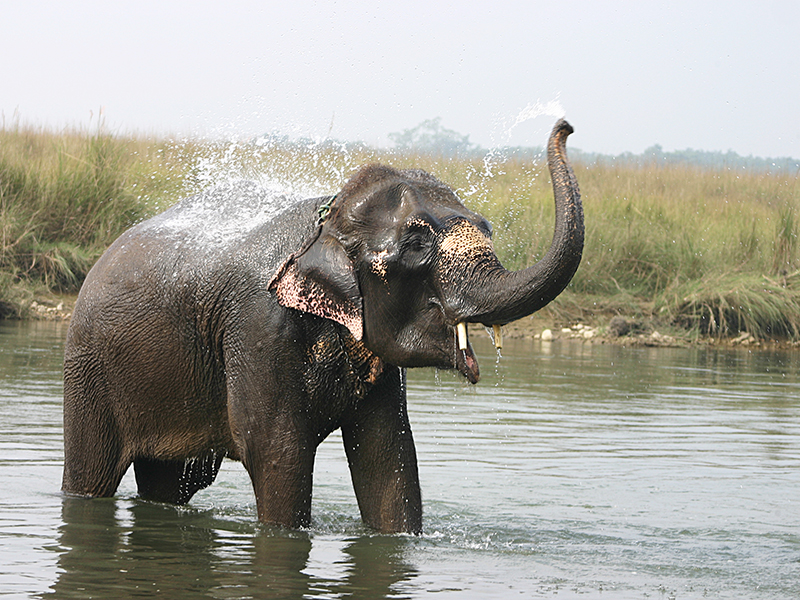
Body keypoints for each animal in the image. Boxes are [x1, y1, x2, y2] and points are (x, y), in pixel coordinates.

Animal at [61, 119, 580, 532]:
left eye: (487, 227)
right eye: (416, 246)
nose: (566, 126)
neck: (326, 223)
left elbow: (388, 459)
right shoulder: (259, 329)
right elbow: (277, 454)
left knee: (174, 480)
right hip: (89, 369)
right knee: (94, 473)